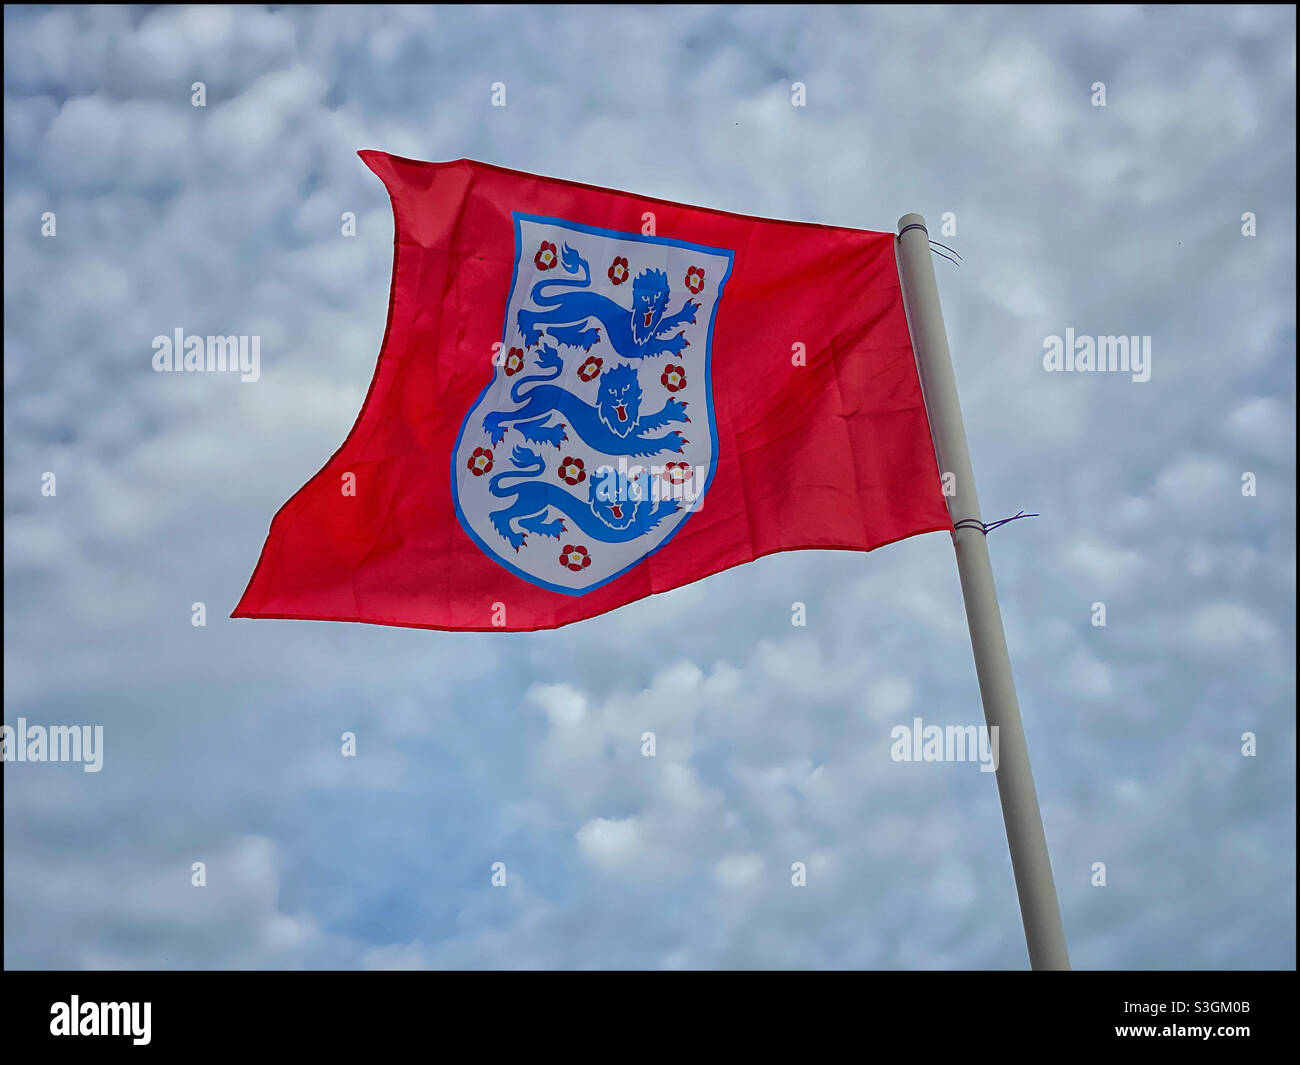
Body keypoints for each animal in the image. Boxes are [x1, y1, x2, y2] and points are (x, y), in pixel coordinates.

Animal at [483, 345, 691, 455]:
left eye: (626, 387)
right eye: (611, 391)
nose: (619, 399)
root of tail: (536, 388)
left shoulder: (632, 427)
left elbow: (651, 420)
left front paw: (672, 411)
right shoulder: (623, 444)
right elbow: (650, 443)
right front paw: (671, 441)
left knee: (520, 425)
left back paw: (549, 433)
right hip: (539, 406)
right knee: (503, 417)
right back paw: (496, 429)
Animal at [488, 447, 681, 553]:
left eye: (618, 489)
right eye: (603, 493)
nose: (613, 501)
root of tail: (524, 483)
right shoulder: (626, 530)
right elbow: (651, 515)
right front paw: (667, 504)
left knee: (523, 521)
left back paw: (550, 527)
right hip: (532, 503)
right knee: (499, 515)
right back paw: (515, 537)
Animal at [517, 241, 702, 358]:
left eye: (657, 295)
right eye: (644, 297)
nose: (650, 308)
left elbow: (664, 324)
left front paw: (685, 313)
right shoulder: (630, 344)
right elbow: (657, 343)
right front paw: (674, 343)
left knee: (553, 330)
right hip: (571, 312)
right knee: (529, 315)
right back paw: (530, 332)